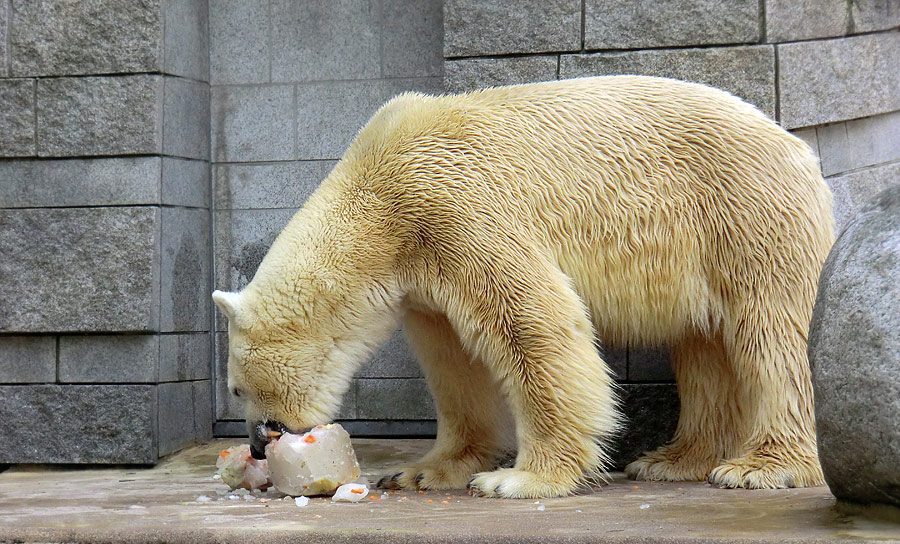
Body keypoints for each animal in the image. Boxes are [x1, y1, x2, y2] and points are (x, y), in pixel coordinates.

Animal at [214, 75, 832, 498]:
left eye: (238, 390)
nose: (258, 442)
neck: (377, 195)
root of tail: (801, 150)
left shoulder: (456, 205)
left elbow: (530, 321)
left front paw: (518, 478)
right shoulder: (421, 274)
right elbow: (454, 362)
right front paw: (423, 471)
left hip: (745, 213)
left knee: (773, 334)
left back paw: (761, 467)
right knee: (703, 345)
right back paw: (671, 459)